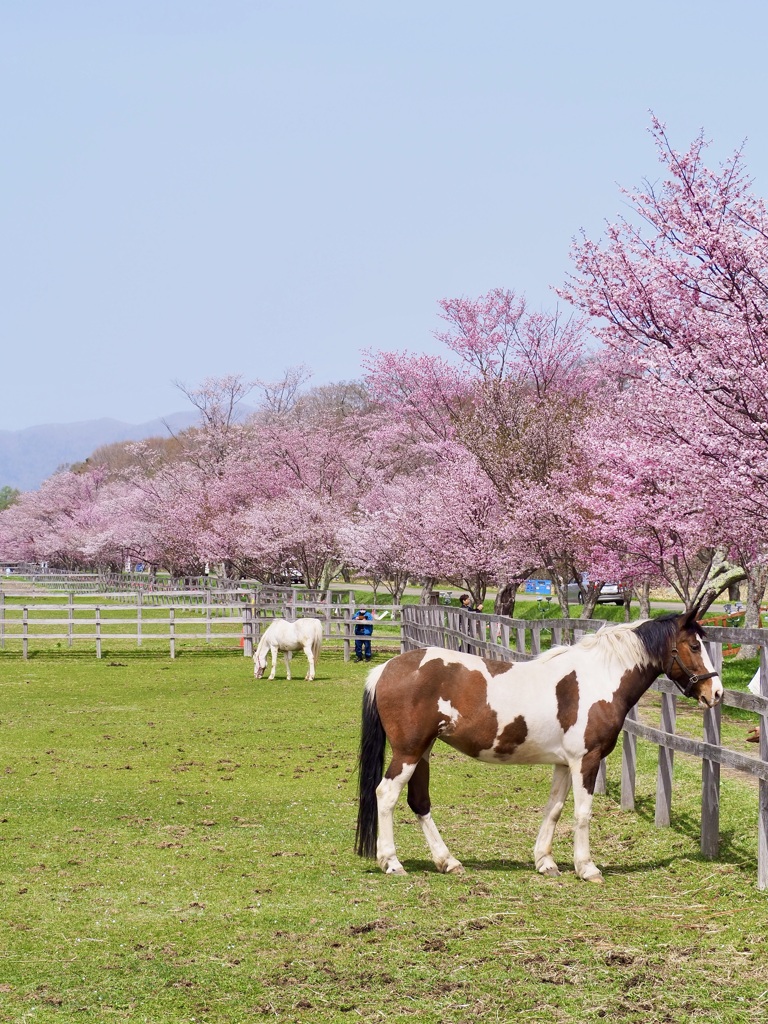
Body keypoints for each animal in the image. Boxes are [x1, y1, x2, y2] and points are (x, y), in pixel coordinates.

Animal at [358, 606, 724, 880]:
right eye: (694, 646)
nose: (716, 692)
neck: (599, 677)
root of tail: (387, 669)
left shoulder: (564, 762)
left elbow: (555, 809)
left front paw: (545, 861)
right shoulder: (586, 760)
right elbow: (582, 812)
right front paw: (586, 867)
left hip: (423, 751)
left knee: (419, 802)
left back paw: (448, 861)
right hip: (408, 751)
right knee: (386, 794)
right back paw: (392, 862)